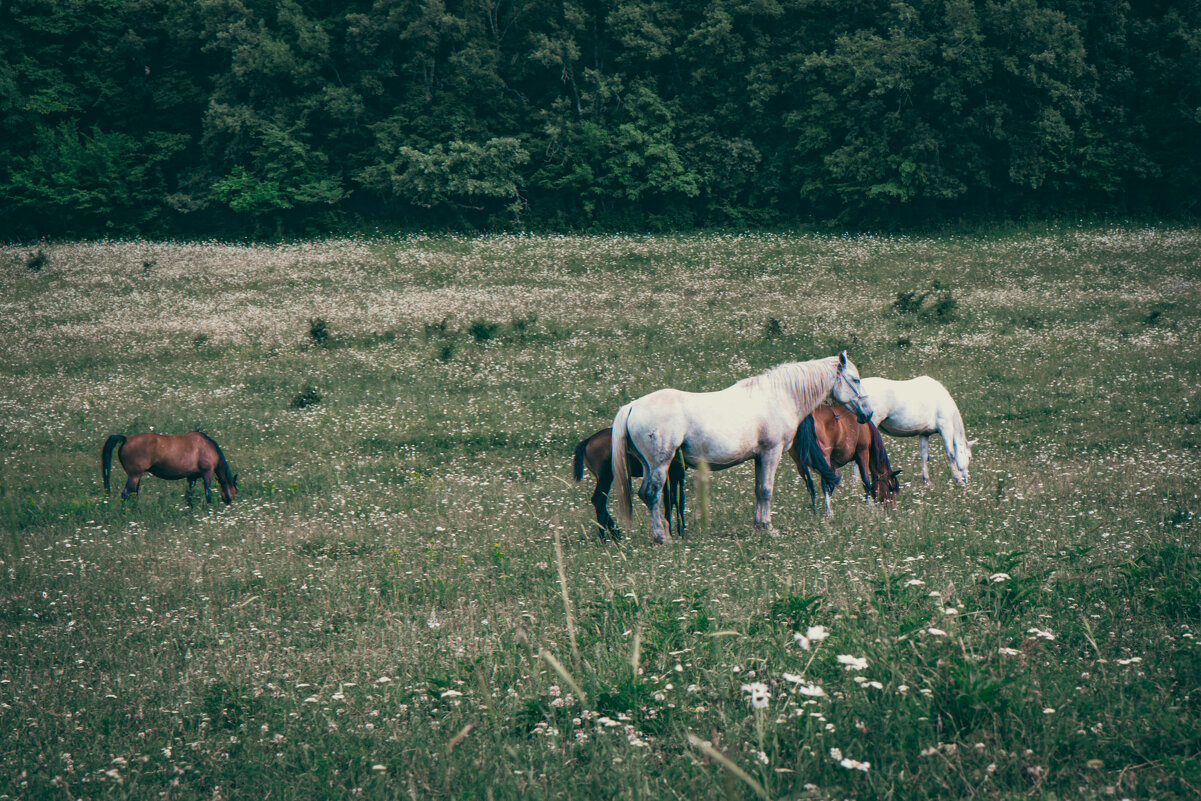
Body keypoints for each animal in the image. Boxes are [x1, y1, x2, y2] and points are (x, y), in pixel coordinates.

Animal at [103, 429, 236, 504]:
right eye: (234, 492)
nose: (229, 505)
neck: (207, 446)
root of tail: (126, 439)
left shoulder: (191, 477)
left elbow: (189, 496)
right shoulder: (207, 473)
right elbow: (208, 495)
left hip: (136, 477)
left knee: (134, 494)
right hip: (134, 476)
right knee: (125, 494)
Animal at [614, 353, 869, 545]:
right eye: (855, 380)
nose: (867, 413)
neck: (779, 396)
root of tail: (632, 406)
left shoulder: (759, 457)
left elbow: (758, 490)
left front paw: (758, 526)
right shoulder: (771, 452)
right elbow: (766, 490)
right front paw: (768, 528)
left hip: (649, 465)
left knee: (645, 494)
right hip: (660, 464)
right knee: (652, 493)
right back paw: (662, 537)